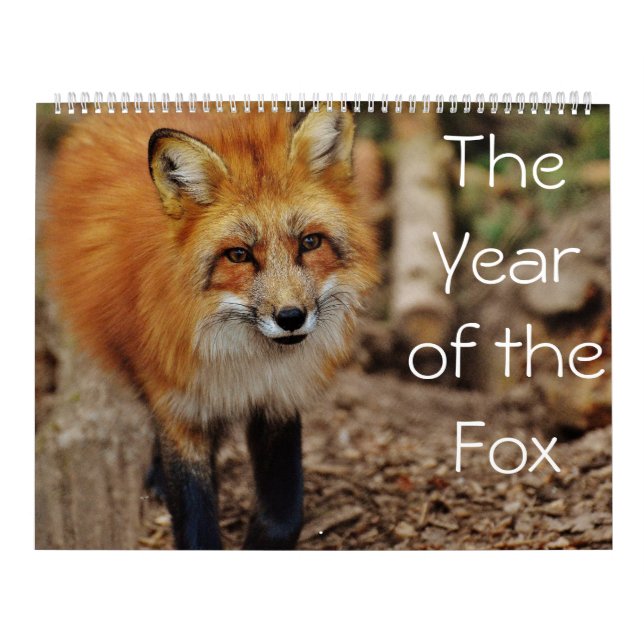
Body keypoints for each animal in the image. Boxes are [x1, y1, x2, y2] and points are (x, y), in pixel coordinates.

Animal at [44, 106, 378, 549]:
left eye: (310, 243)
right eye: (238, 255)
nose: (290, 317)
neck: (244, 361)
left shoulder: (279, 398)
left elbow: (283, 515)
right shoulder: (180, 406)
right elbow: (196, 522)